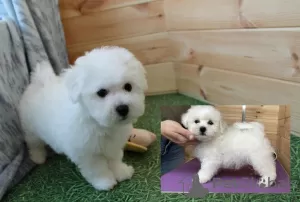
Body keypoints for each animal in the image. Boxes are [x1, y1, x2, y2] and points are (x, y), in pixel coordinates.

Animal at [18, 46, 148, 191]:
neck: (99, 123)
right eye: (101, 92)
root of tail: (40, 81)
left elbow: (115, 159)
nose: (123, 108)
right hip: (30, 128)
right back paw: (38, 157)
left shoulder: (113, 146)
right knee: (34, 143)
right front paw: (104, 182)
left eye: (128, 87)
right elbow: (97, 169)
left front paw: (121, 172)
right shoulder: (87, 153)